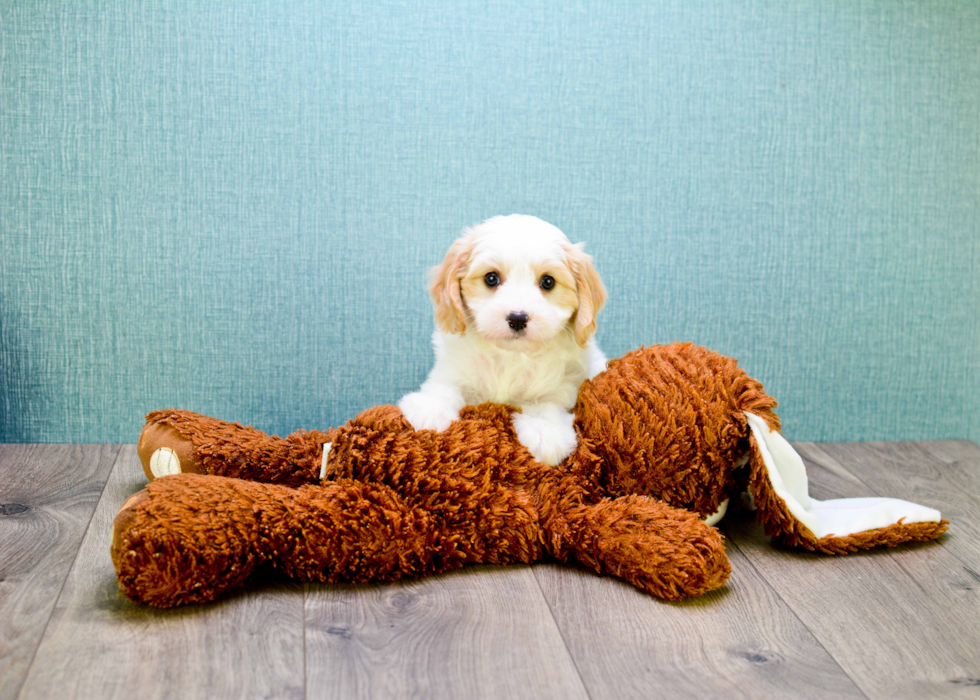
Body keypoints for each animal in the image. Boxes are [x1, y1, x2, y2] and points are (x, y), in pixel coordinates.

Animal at [398, 213, 604, 464]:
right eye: (491, 278)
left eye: (548, 282)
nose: (517, 318)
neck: (509, 356)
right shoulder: (451, 371)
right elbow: (444, 387)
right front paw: (429, 408)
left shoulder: (561, 387)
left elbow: (546, 405)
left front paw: (545, 432)